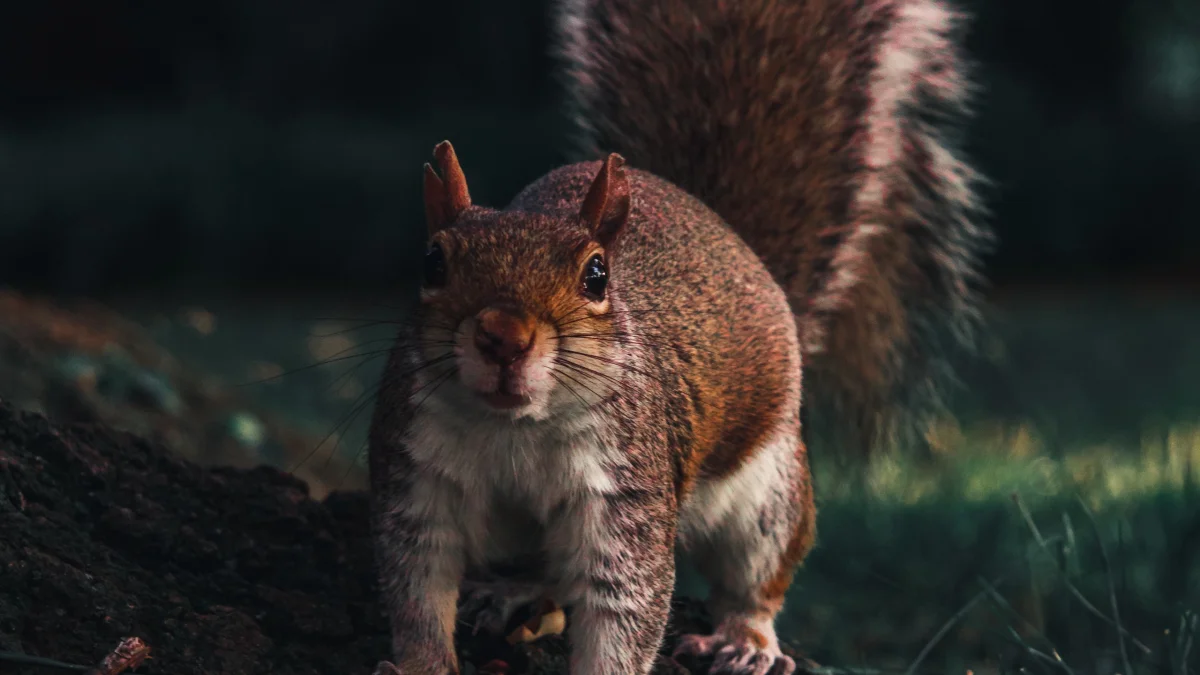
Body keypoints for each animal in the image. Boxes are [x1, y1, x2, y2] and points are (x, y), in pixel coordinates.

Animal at [368, 0, 988, 673]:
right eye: (432, 262)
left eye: (596, 275)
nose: (504, 336)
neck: (513, 428)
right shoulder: (414, 474)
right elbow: (416, 588)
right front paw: (421, 662)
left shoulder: (628, 489)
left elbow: (625, 602)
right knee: (547, 572)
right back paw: (517, 591)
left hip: (769, 492)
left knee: (756, 576)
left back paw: (744, 639)